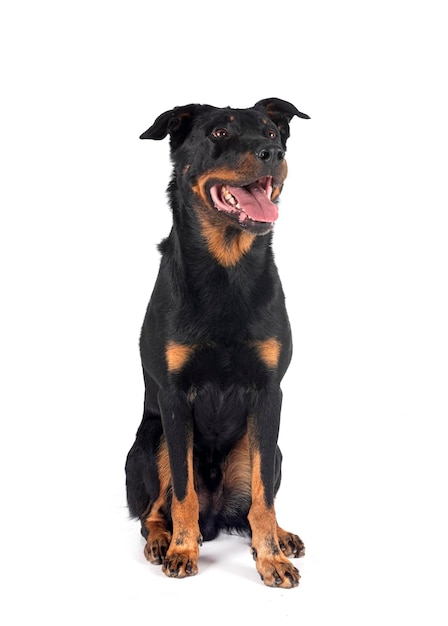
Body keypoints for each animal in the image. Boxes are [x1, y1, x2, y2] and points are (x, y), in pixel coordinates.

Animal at [124, 97, 310, 584]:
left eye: (271, 132)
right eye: (220, 134)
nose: (273, 153)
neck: (227, 269)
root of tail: (216, 517)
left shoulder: (268, 393)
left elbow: (263, 499)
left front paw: (271, 558)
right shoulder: (173, 398)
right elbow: (183, 493)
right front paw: (182, 549)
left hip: (270, 447)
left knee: (254, 503)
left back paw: (281, 535)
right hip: (152, 440)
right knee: (154, 510)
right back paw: (161, 540)